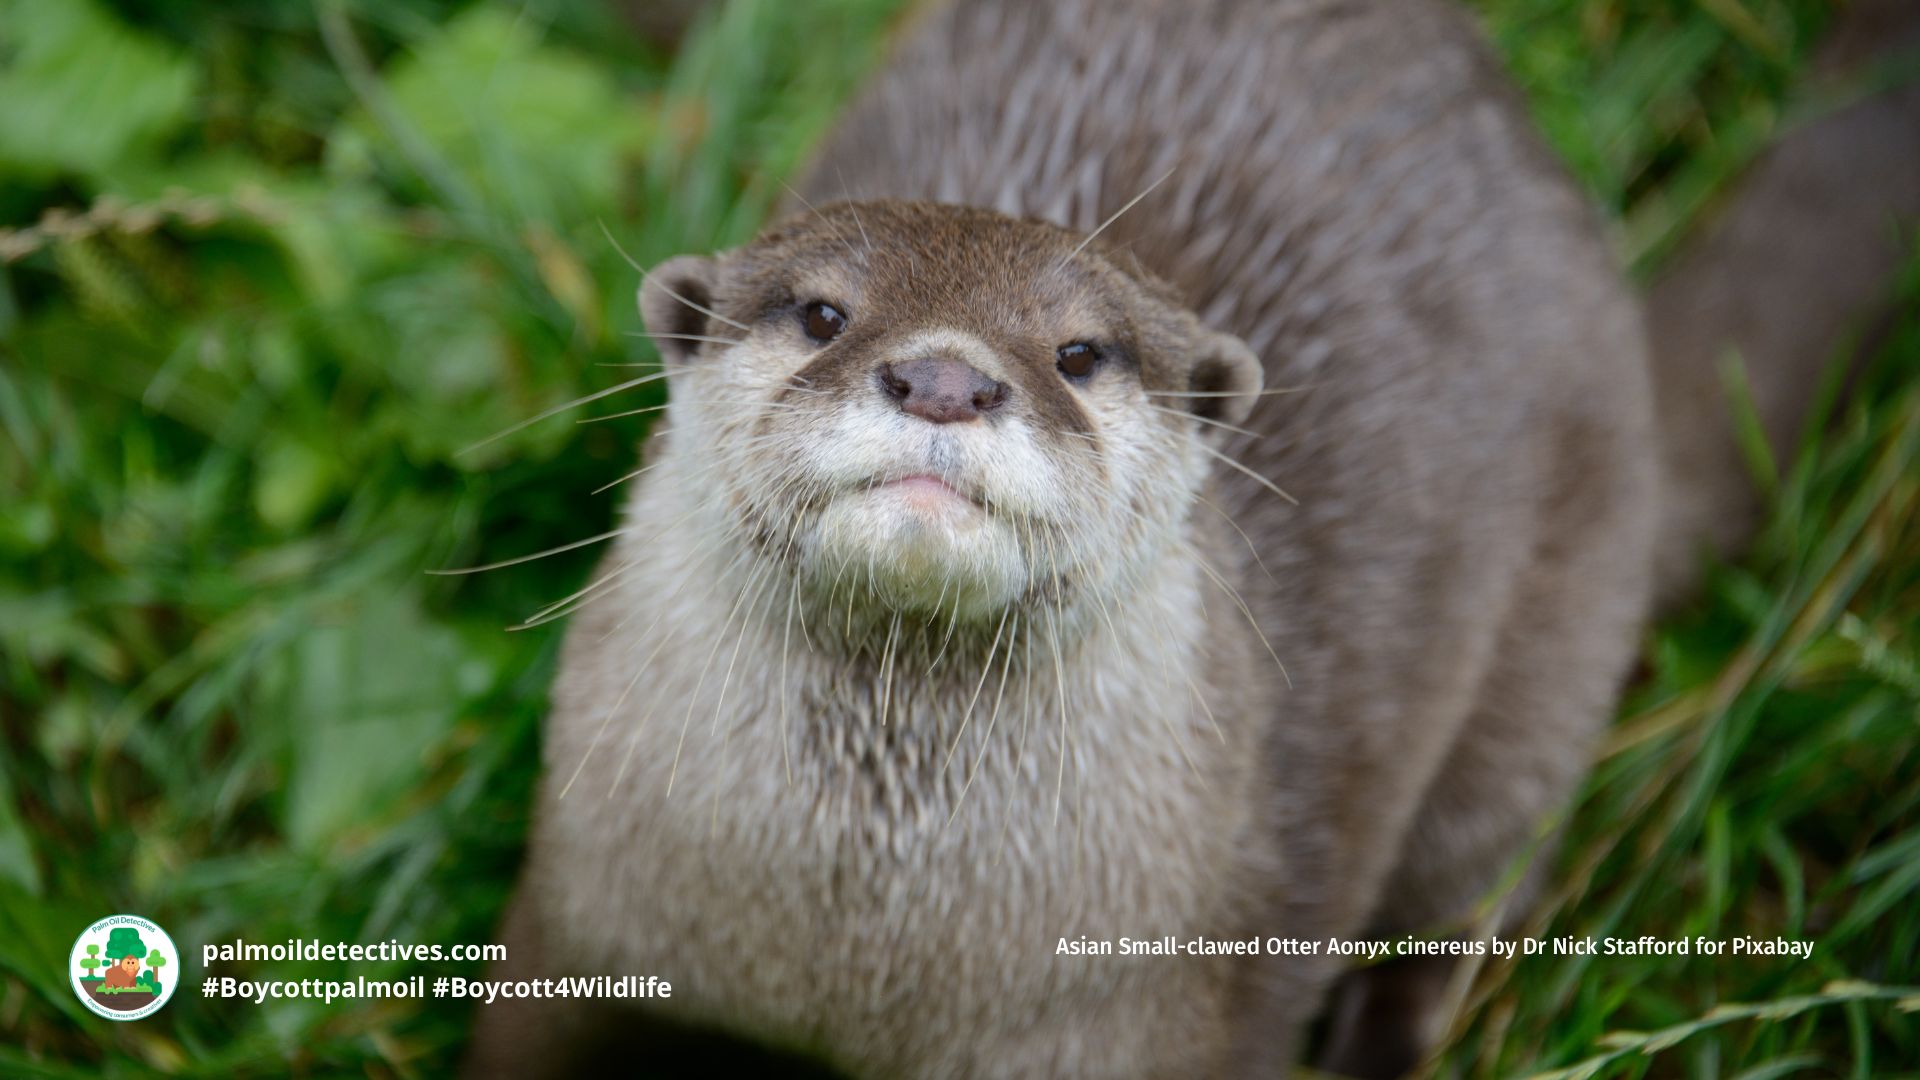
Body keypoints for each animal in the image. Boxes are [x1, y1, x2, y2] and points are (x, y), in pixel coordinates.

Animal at [464, 1, 1920, 1076]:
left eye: (1079, 352)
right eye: (823, 313)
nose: (945, 379)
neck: (861, 965)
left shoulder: (1151, 1014)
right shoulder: (580, 917)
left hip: (1556, 640)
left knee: (1475, 881)